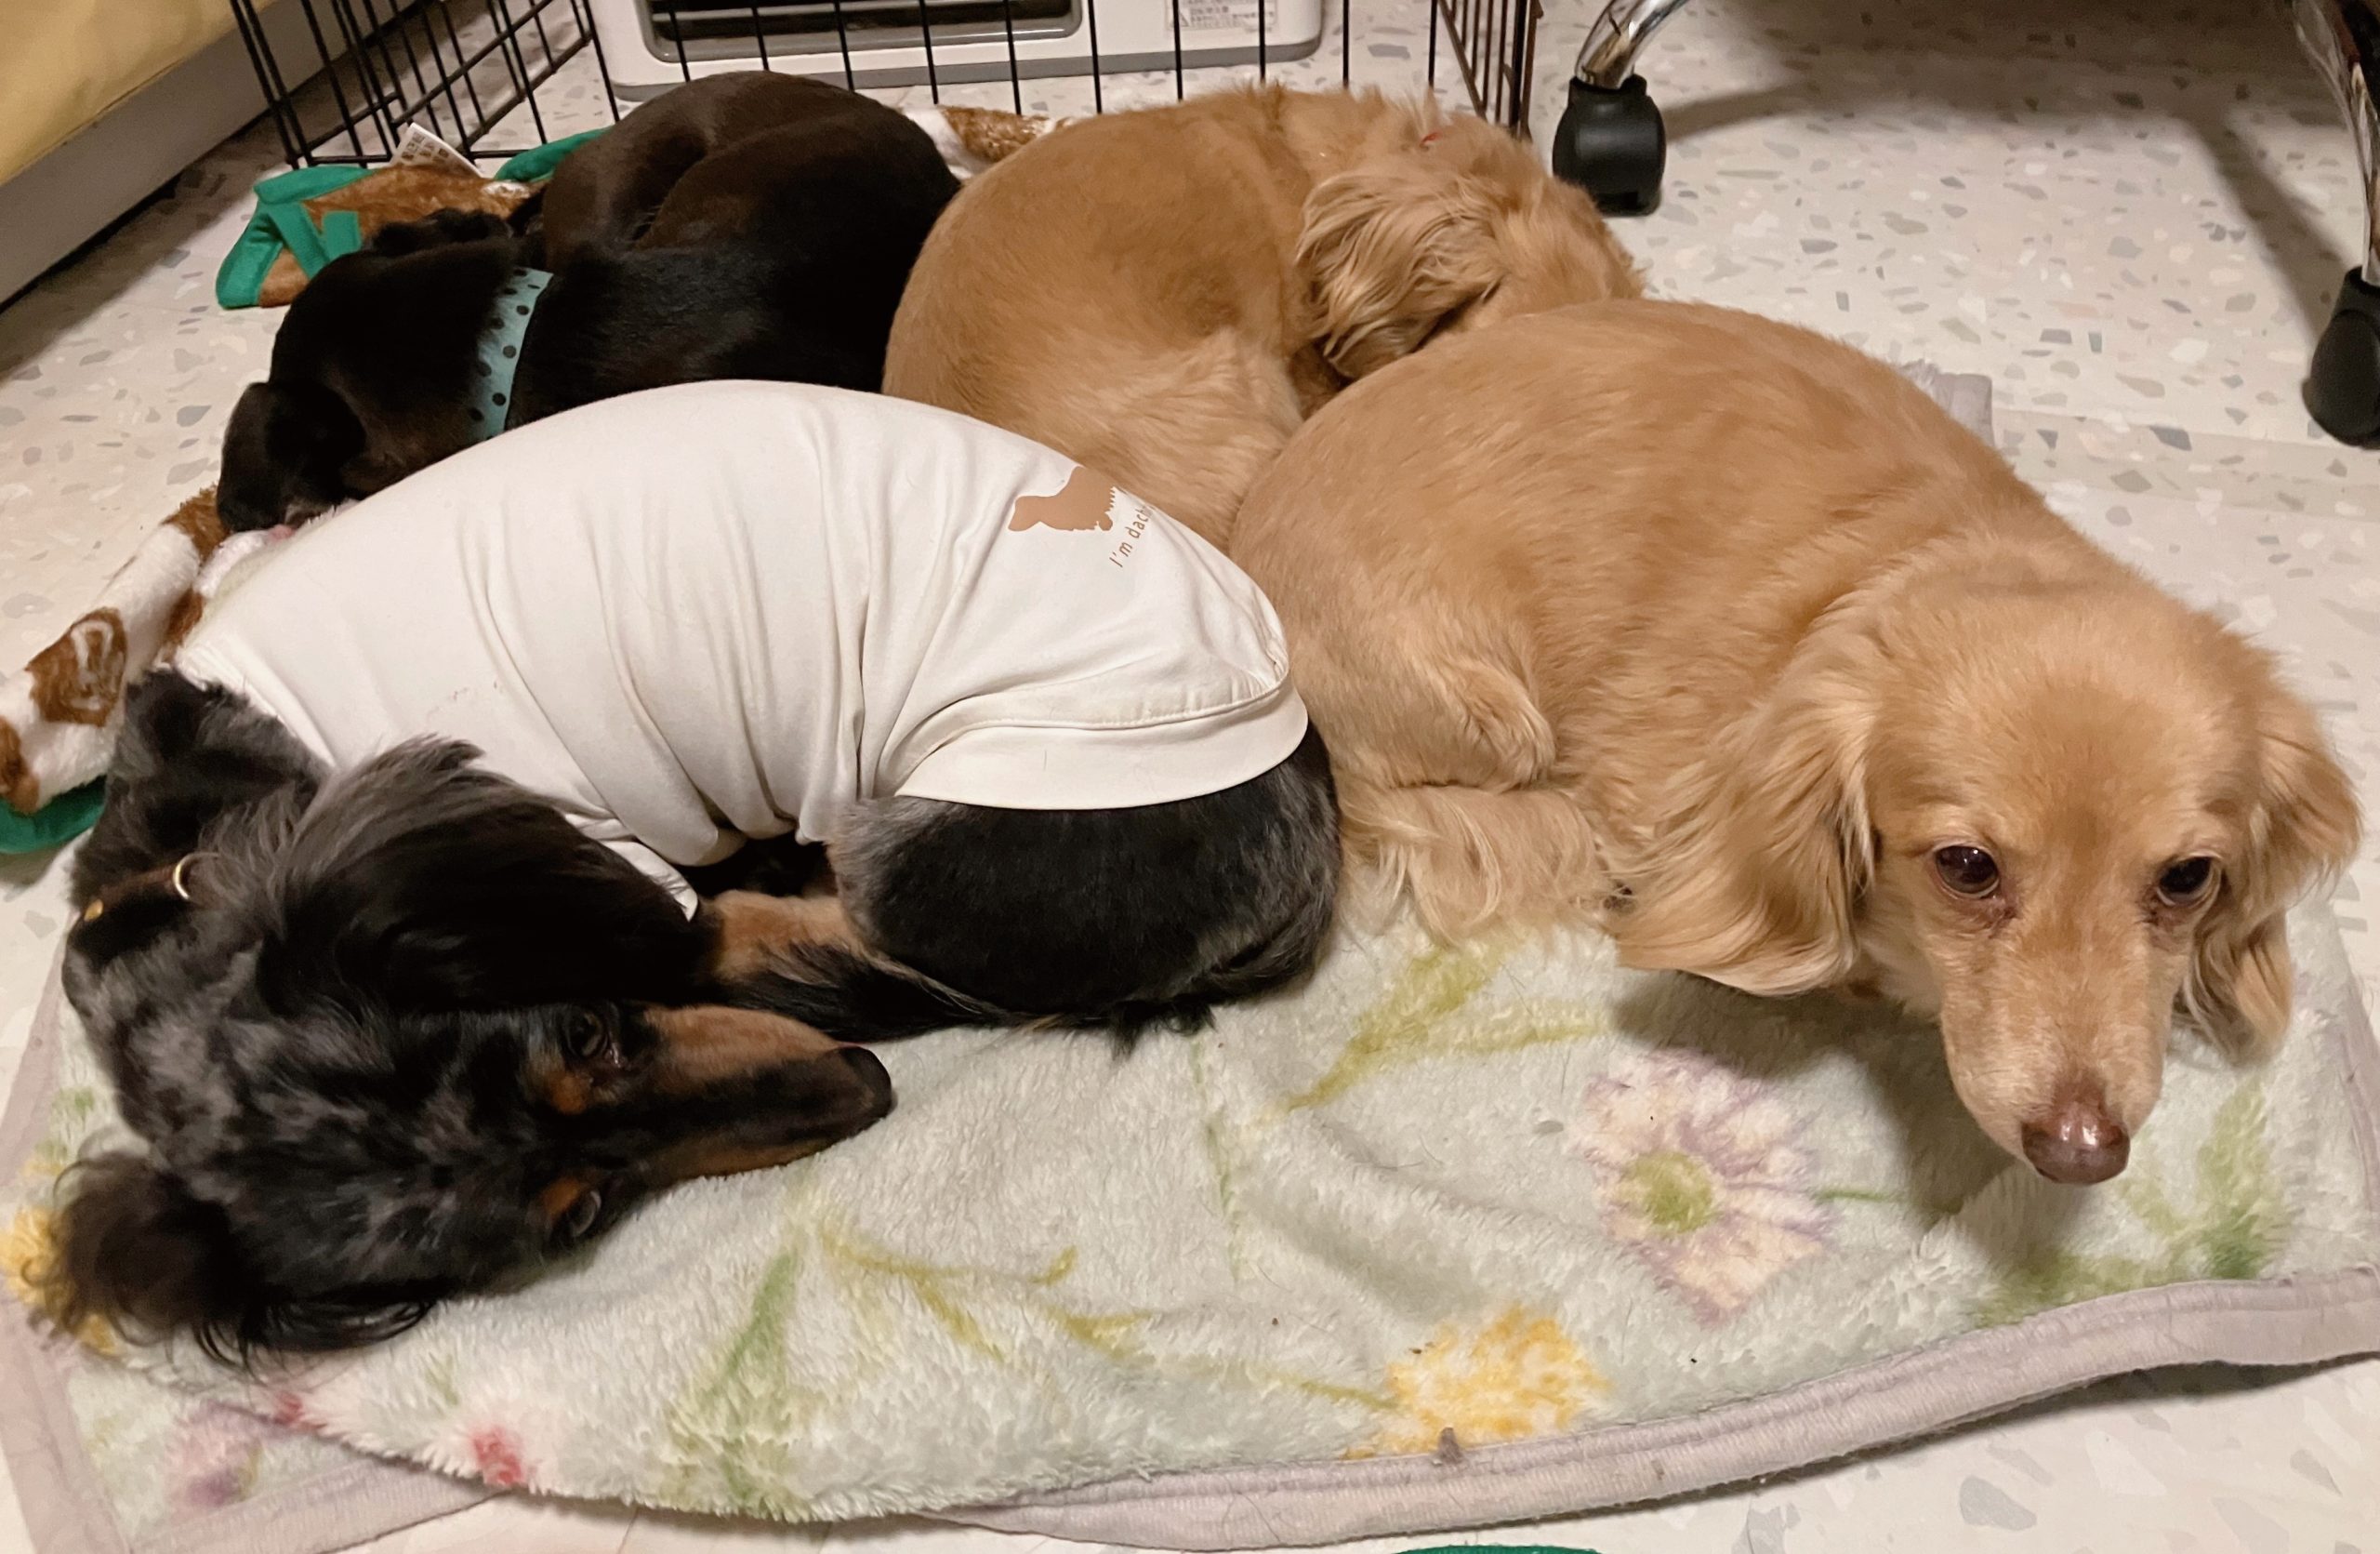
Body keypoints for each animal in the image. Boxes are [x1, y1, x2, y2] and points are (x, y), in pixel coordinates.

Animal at [45, 382, 1336, 1358]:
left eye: (591, 1030)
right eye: (582, 1216)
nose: (861, 1088)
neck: (200, 844)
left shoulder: (632, 886)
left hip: (909, 842)